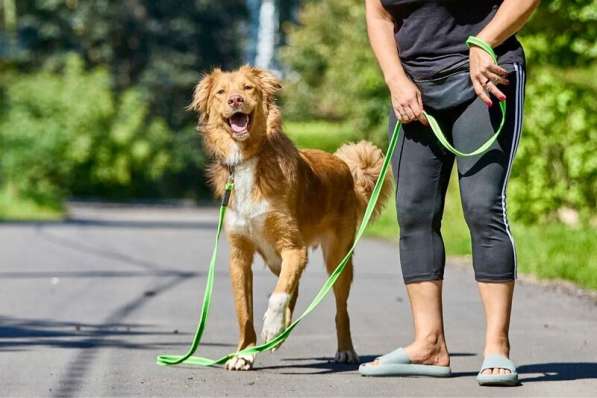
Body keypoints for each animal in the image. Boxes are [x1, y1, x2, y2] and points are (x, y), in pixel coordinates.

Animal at [187, 65, 392, 370]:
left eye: (248, 88)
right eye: (221, 92)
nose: (235, 100)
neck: (248, 160)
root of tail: (345, 166)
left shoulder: (294, 248)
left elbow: (278, 293)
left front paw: (271, 326)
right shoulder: (239, 257)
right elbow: (245, 311)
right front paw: (244, 353)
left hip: (337, 259)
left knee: (339, 307)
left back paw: (344, 349)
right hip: (275, 258)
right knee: (293, 288)